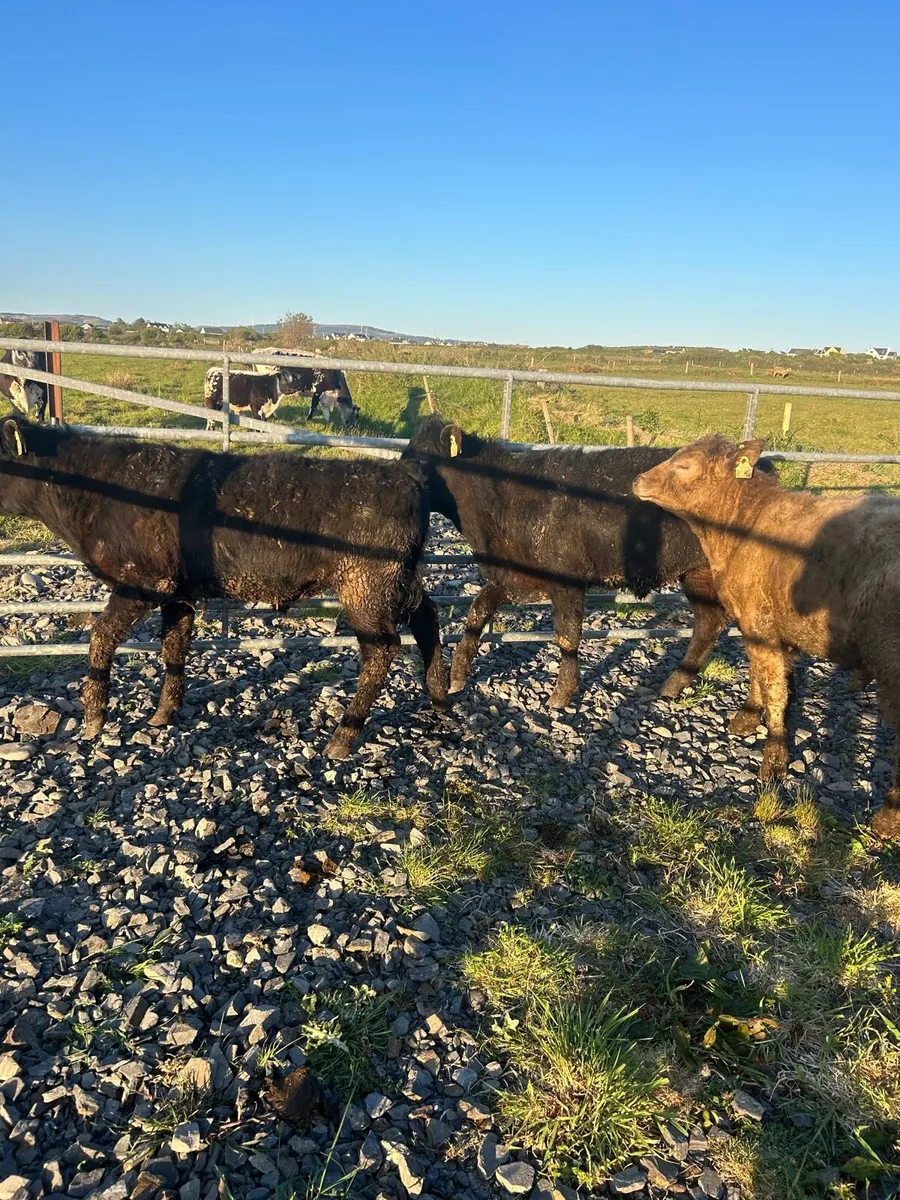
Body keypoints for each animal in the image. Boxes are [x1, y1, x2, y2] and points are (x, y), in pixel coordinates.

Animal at [0, 414, 447, 759]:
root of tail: (403, 473)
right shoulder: (178, 592)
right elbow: (173, 647)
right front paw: (163, 715)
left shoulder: (142, 583)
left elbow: (100, 638)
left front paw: (94, 721)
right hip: (401, 581)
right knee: (427, 618)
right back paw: (440, 698)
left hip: (366, 587)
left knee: (382, 648)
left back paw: (342, 738)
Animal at [402, 415, 771, 716]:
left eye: (422, 459)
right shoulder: (514, 578)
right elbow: (476, 613)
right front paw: (457, 675)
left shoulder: (566, 581)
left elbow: (567, 637)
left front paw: (560, 695)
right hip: (698, 575)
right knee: (709, 623)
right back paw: (674, 685)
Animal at [632, 434, 900, 838]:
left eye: (684, 465)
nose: (638, 480)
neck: (743, 524)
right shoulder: (768, 626)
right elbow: (764, 675)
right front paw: (747, 716)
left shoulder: (759, 622)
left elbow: (775, 688)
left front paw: (773, 762)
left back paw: (887, 820)